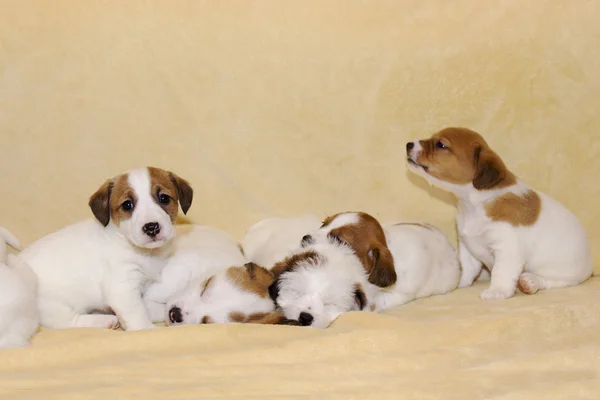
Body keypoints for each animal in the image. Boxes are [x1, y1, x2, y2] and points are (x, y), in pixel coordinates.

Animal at [18, 166, 192, 332]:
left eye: (164, 198)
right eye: (127, 205)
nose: (151, 227)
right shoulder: (122, 287)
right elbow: (136, 312)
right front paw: (146, 328)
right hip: (54, 307)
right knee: (68, 322)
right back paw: (104, 321)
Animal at [406, 128, 592, 300]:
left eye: (440, 144)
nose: (408, 144)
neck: (474, 204)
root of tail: (590, 267)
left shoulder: (507, 248)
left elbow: (500, 273)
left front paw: (497, 291)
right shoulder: (468, 248)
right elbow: (466, 269)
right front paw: (459, 283)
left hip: (565, 274)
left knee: (552, 281)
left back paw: (530, 282)